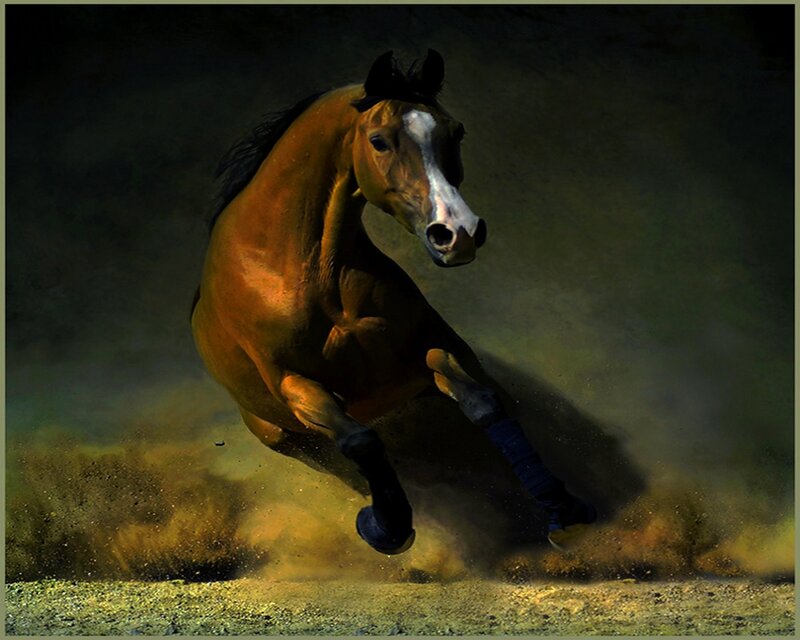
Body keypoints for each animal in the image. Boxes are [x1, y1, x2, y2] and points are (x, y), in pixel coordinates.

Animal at [191, 50, 596, 555]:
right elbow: (362, 442)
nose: (457, 233)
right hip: (276, 431)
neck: (302, 269)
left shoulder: (433, 347)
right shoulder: (293, 383)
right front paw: (386, 527)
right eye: (379, 141)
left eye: (456, 131)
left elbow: (485, 403)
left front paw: (561, 508)